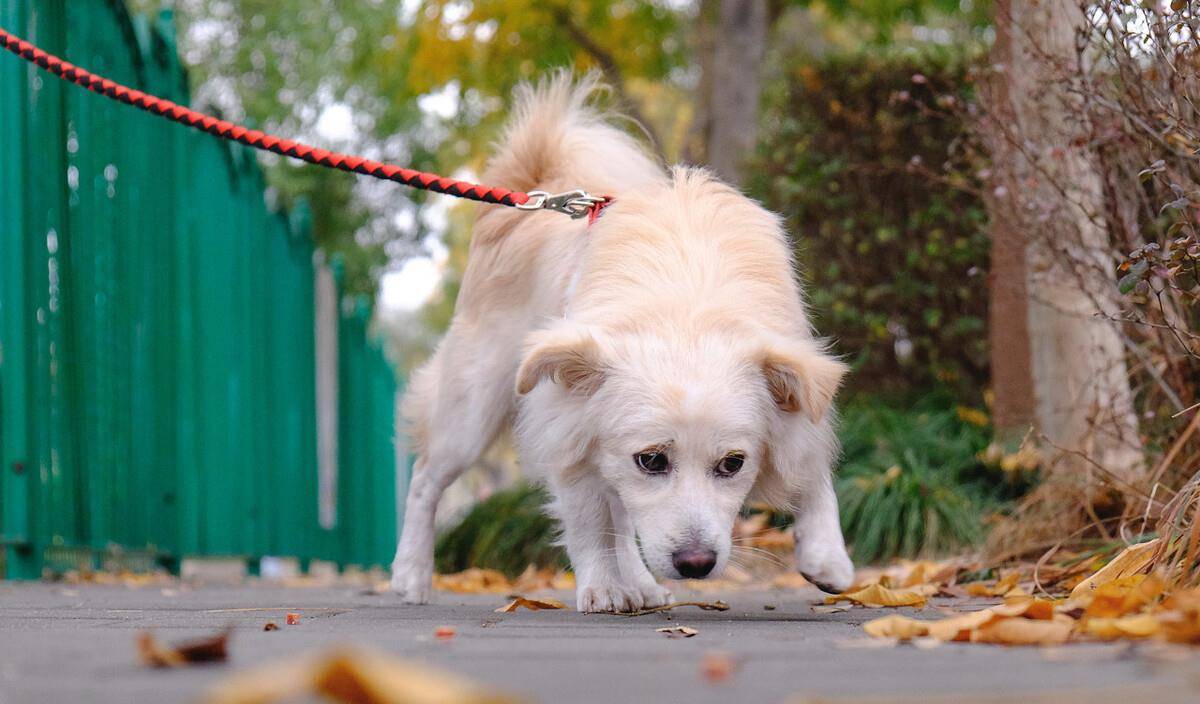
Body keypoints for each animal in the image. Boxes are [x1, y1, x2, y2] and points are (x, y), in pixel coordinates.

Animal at [391, 72, 854, 611]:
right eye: (652, 460)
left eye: (733, 464)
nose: (695, 565)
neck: (685, 309)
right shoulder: (566, 424)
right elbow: (590, 523)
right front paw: (603, 587)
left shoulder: (802, 392)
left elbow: (813, 467)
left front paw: (828, 555)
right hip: (473, 407)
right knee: (426, 480)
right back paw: (411, 576)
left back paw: (642, 584)